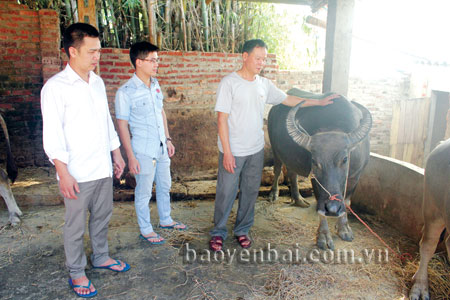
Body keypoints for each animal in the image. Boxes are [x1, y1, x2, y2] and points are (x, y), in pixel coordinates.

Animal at [268, 89, 370, 251]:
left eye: (344, 159)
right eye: (315, 162)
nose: (333, 208)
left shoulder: (356, 176)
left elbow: (347, 201)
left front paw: (344, 228)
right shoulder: (315, 180)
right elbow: (320, 207)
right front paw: (323, 237)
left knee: (292, 173)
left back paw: (299, 199)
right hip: (275, 149)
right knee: (277, 169)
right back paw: (273, 194)